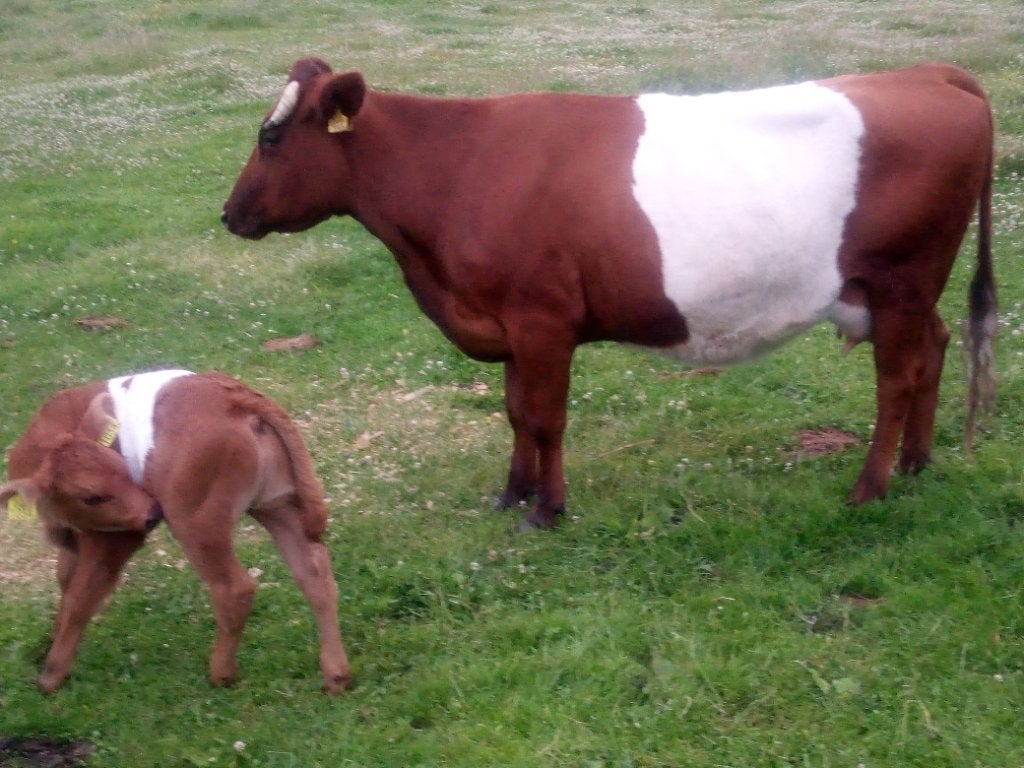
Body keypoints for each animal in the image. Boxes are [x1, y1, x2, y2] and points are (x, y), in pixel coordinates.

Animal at [0, 370, 351, 694]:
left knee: (235, 589)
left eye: (121, 468)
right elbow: (65, 581)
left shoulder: (116, 536)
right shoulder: (73, 539)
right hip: (277, 503)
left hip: (197, 520)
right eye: (91, 497)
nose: (154, 512)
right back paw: (336, 675)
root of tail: (231, 393)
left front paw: (51, 675)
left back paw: (221, 674)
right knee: (314, 573)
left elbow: (79, 597)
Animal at [222, 58, 996, 530]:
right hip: (907, 292)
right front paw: (512, 492)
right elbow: (514, 413)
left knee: (897, 378)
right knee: (934, 348)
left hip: (901, 278)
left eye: (270, 136)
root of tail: (931, 73)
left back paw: (870, 488)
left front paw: (548, 509)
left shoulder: (542, 319)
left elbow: (545, 418)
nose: (229, 213)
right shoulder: (509, 323)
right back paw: (916, 464)